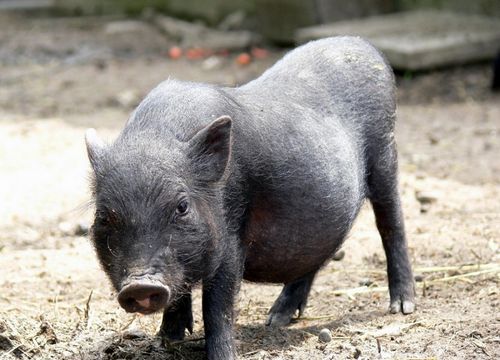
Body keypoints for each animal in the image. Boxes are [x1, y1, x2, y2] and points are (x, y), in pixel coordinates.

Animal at [85, 35, 414, 358]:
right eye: (103, 216)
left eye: (182, 206)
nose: (139, 285)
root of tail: (365, 45)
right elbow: (182, 291)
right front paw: (166, 341)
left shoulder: (232, 234)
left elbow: (217, 306)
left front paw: (219, 354)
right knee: (317, 253)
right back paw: (276, 319)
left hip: (386, 153)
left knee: (392, 224)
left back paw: (402, 307)